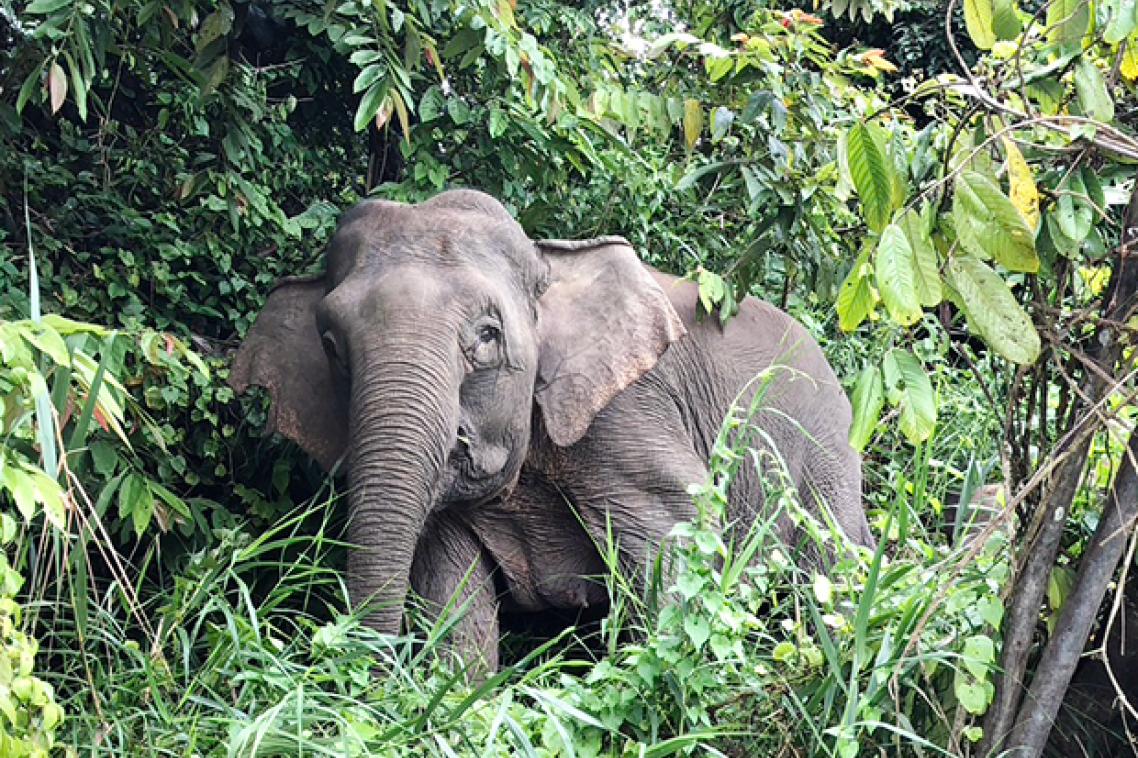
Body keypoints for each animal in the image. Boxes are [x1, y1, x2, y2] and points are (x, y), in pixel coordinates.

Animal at [230, 189, 872, 670]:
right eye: (331, 345)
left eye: (487, 336)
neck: (550, 263)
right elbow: (450, 594)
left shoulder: (626, 416)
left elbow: (677, 540)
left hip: (827, 457)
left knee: (831, 569)